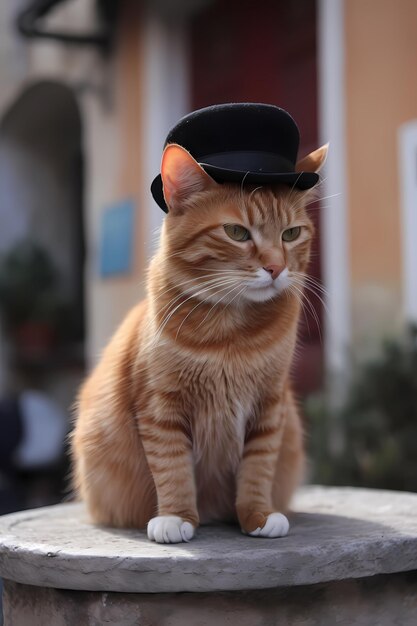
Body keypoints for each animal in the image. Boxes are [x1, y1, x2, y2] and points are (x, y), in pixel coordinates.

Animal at [71, 140, 326, 540]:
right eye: (236, 232)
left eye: (290, 234)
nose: (276, 268)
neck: (231, 338)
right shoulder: (160, 407)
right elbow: (172, 468)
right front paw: (176, 518)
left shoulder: (269, 407)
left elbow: (258, 469)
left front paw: (258, 516)